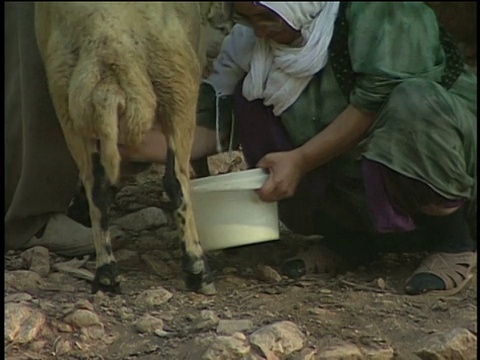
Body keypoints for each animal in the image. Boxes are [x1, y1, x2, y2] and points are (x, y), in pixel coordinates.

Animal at [34, 2, 226, 294]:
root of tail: (108, 46)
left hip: (66, 98)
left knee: (96, 186)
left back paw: (106, 273)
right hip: (176, 80)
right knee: (175, 181)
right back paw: (197, 269)